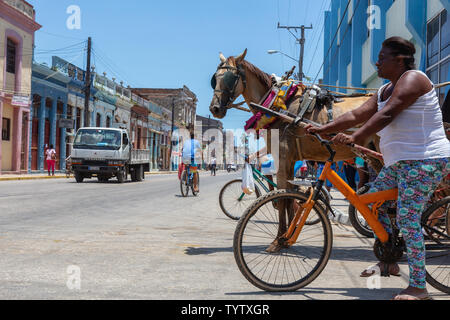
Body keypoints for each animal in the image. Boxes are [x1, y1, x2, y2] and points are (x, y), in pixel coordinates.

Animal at [209, 48, 382, 240]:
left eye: (231, 78)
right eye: (215, 79)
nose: (215, 108)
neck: (278, 106)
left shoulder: (283, 158)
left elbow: (284, 198)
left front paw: (281, 237)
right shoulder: (290, 160)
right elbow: (290, 196)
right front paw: (289, 232)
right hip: (373, 155)